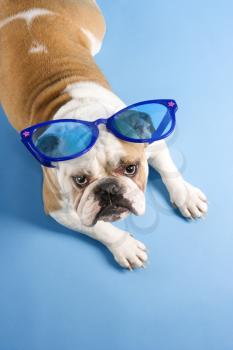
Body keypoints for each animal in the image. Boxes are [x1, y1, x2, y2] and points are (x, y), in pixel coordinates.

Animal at [0, 0, 208, 270]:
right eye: (80, 180)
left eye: (131, 168)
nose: (109, 188)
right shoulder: (59, 208)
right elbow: (100, 229)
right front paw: (125, 246)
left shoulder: (152, 142)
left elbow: (169, 169)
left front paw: (186, 195)